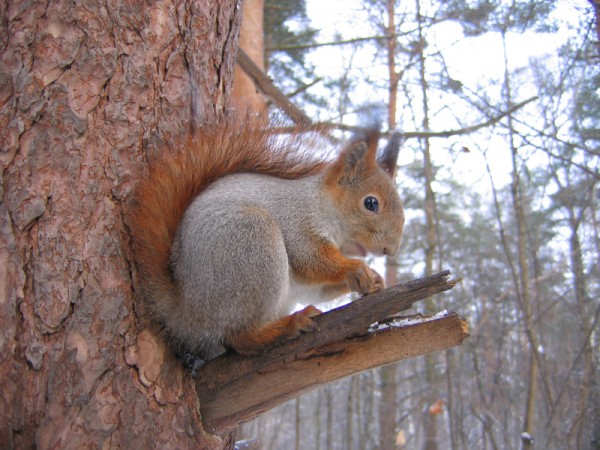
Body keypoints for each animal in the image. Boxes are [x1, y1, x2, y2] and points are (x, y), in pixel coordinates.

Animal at [129, 117, 406, 370]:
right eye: (370, 203)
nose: (390, 250)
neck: (322, 204)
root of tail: (187, 311)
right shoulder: (297, 222)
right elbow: (311, 258)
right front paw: (356, 269)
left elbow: (315, 289)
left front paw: (374, 280)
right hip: (252, 244)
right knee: (238, 338)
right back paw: (287, 326)